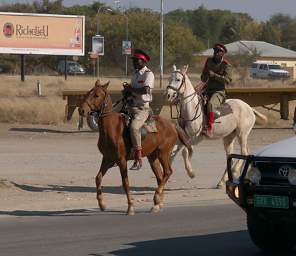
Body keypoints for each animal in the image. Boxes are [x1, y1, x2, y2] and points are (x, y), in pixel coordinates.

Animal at [78, 80, 193, 214]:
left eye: (96, 95)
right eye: (87, 93)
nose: (82, 110)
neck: (111, 128)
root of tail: (173, 125)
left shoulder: (121, 160)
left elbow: (125, 183)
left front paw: (130, 207)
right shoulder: (107, 159)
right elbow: (98, 178)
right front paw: (102, 204)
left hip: (163, 153)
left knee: (168, 172)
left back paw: (157, 197)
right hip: (152, 157)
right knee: (160, 177)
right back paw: (157, 204)